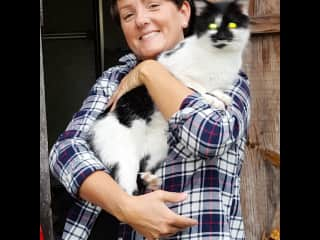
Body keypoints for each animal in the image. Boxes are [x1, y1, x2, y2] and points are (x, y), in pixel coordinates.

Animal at [89, 0, 251, 195]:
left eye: (232, 25)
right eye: (212, 25)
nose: (220, 37)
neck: (218, 58)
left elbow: (213, 89)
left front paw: (222, 97)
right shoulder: (174, 71)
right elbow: (197, 88)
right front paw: (214, 100)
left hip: (158, 149)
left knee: (143, 173)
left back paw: (151, 180)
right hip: (123, 153)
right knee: (127, 191)